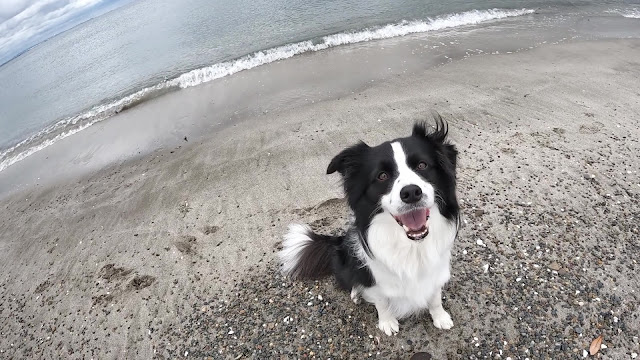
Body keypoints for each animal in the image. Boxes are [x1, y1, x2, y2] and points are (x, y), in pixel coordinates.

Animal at [278, 116, 458, 336]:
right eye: (382, 176)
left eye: (422, 165)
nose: (411, 193)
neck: (411, 246)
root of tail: (337, 243)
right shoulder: (374, 277)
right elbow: (381, 301)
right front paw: (387, 322)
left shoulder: (436, 270)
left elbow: (434, 296)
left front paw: (440, 316)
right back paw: (356, 292)